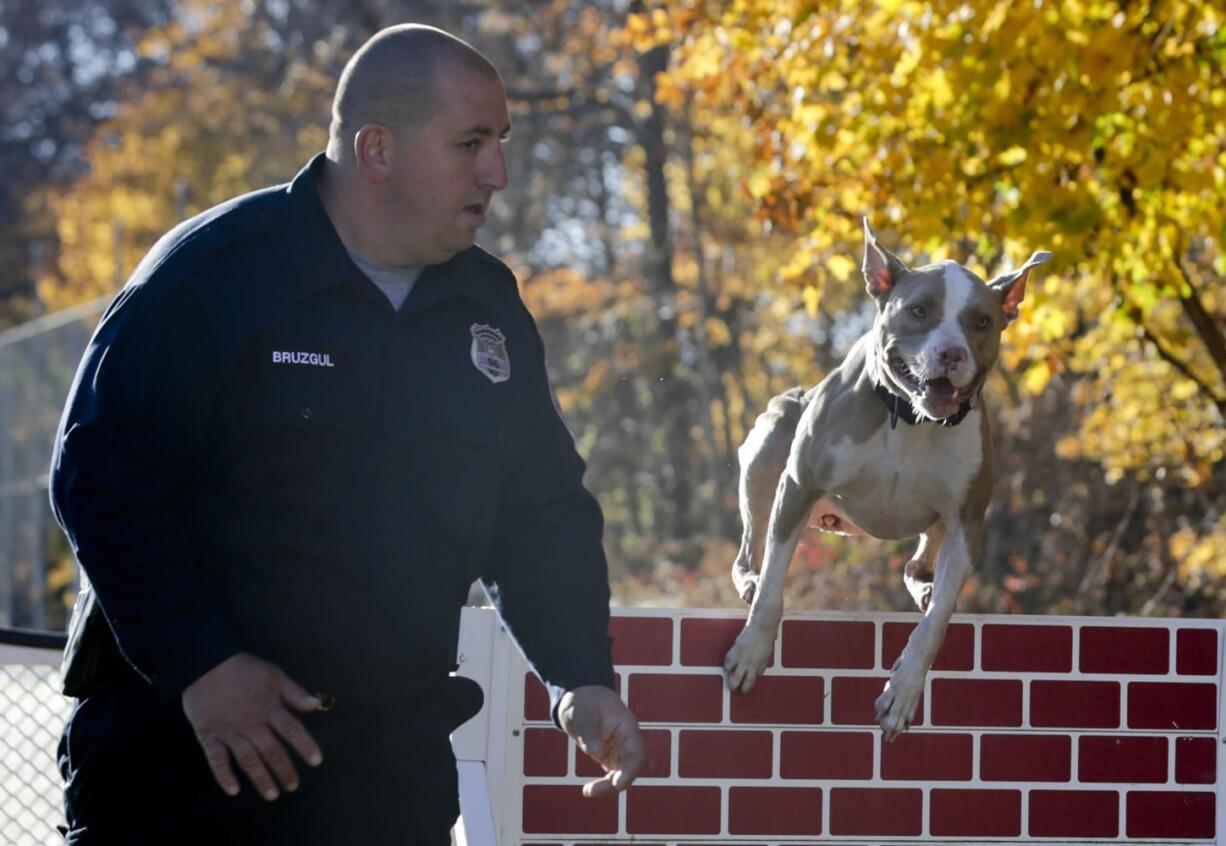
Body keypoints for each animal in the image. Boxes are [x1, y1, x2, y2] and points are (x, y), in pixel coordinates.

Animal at [720, 219, 1049, 735]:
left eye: (982, 322)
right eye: (918, 310)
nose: (951, 353)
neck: (912, 418)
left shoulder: (965, 521)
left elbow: (936, 622)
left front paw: (904, 689)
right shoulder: (799, 484)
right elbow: (774, 585)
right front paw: (752, 649)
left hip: (936, 524)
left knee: (916, 568)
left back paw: (925, 586)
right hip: (771, 444)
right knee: (751, 551)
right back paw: (749, 578)